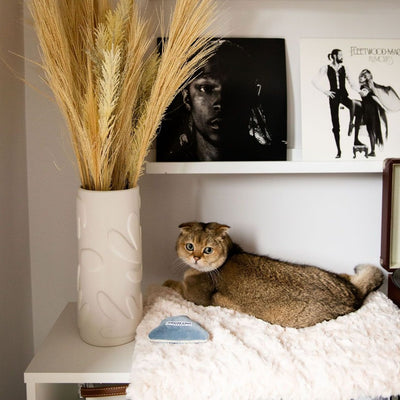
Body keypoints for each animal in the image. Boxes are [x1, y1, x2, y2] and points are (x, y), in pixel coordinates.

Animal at [164, 222, 386, 328]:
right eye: (189, 246)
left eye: (208, 250)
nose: (195, 258)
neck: (231, 253)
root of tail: (354, 293)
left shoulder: (196, 298)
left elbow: (178, 286)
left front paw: (167, 281)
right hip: (341, 275)